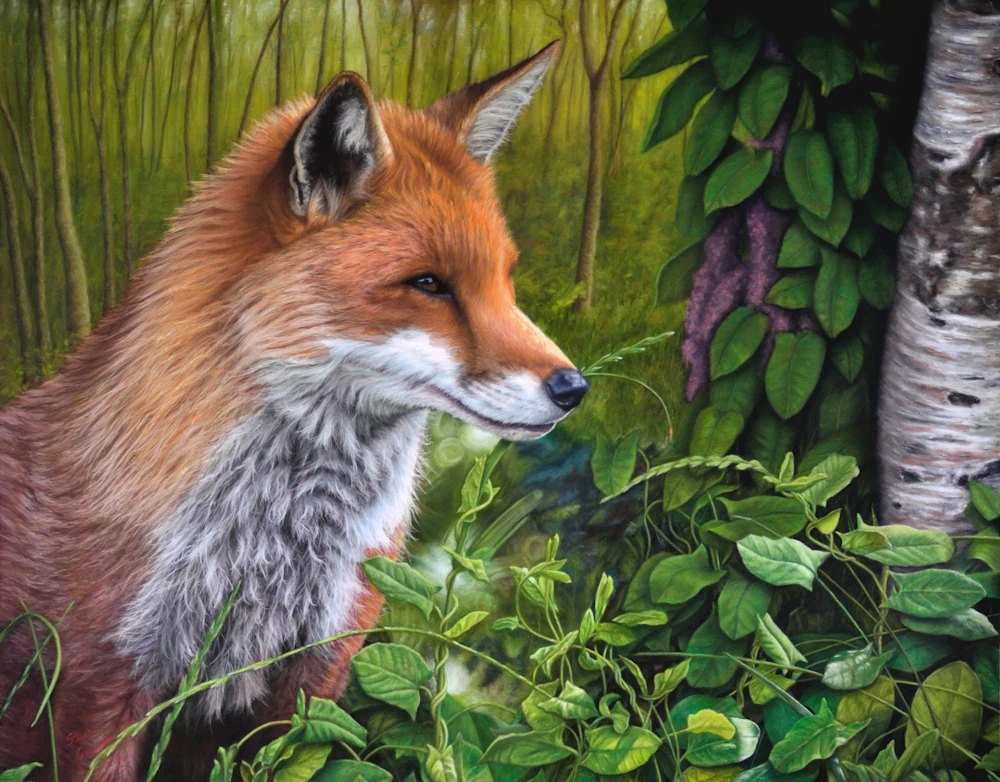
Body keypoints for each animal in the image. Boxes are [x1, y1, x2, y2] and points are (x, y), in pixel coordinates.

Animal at [0, 42, 588, 781]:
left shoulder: (310, 680)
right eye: (429, 284)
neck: (276, 547)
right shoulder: (97, 687)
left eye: (505, 281)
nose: (574, 387)